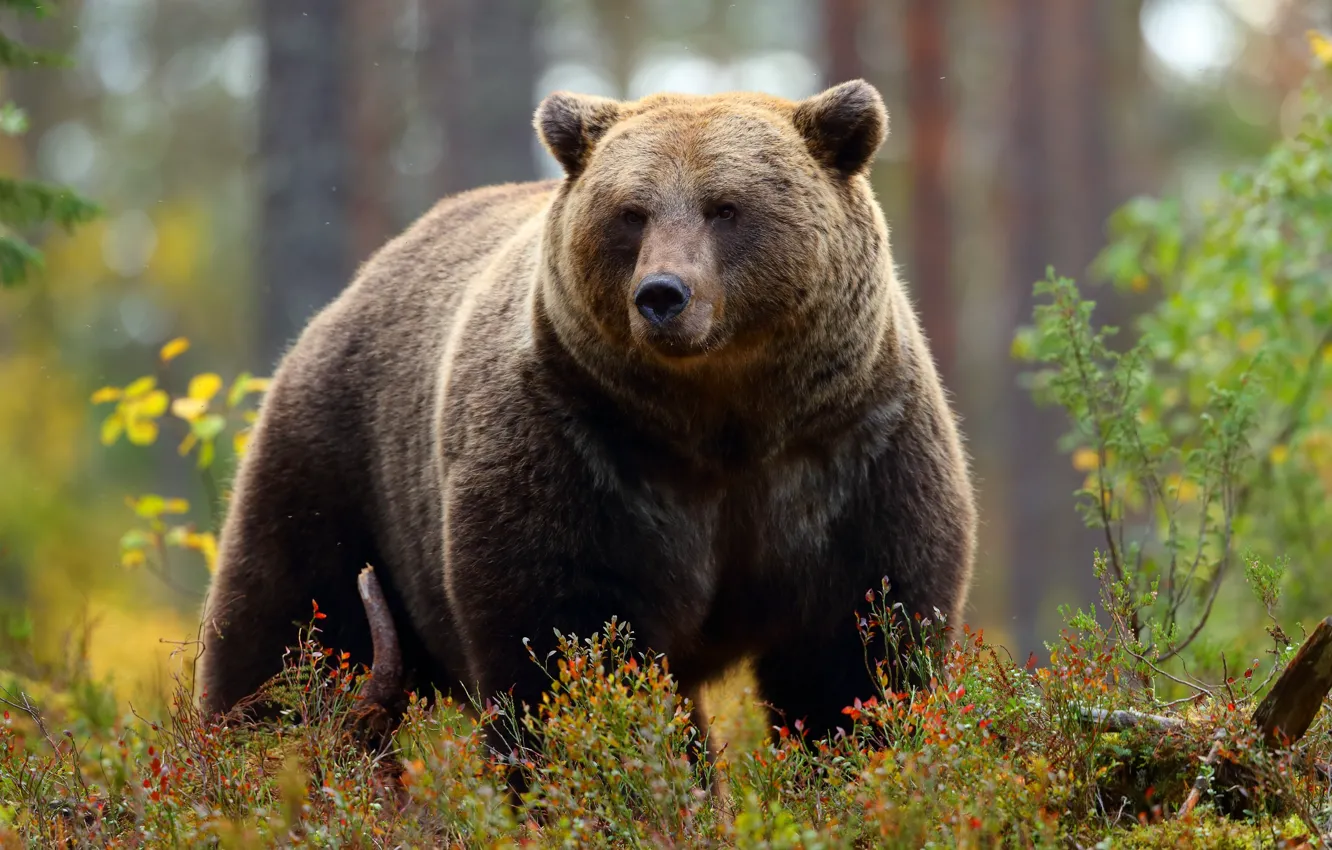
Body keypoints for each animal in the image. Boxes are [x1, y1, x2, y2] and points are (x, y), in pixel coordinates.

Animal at [197, 79, 977, 760]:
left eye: (726, 207)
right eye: (631, 211)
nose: (662, 294)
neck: (725, 421)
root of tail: (355, 287)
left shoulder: (851, 454)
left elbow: (857, 655)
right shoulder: (582, 449)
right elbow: (567, 646)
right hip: (340, 464)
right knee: (289, 630)